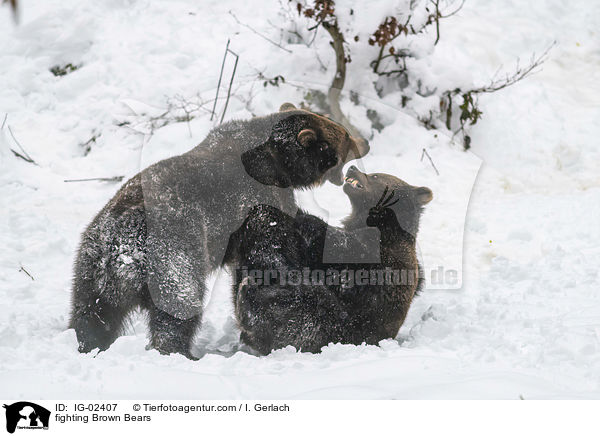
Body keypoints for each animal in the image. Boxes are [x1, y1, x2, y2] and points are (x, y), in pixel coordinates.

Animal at [70, 102, 370, 358]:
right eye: (345, 136)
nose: (365, 142)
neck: (277, 165)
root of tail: (122, 251)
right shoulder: (256, 197)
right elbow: (270, 237)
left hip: (91, 266)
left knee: (91, 312)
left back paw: (89, 344)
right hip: (172, 254)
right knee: (179, 304)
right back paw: (179, 351)